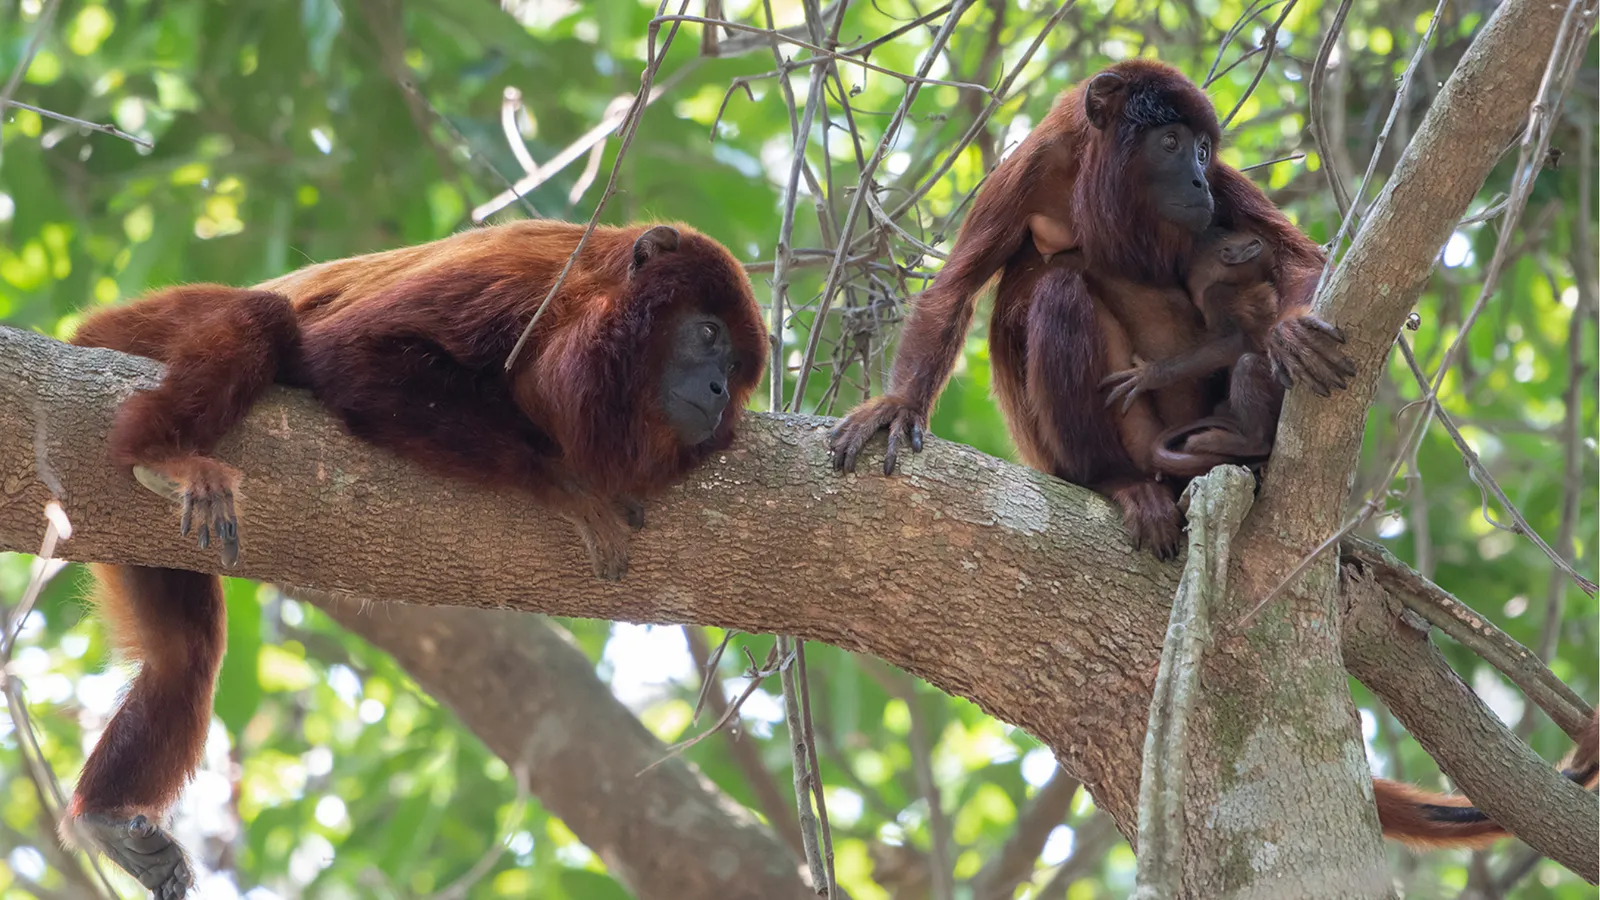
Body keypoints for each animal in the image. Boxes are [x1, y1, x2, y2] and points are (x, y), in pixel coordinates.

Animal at [62, 220, 767, 898]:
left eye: (735, 368)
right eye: (707, 334)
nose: (715, 389)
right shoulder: (521, 286)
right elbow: (352, 355)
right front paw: (567, 482)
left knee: (183, 654)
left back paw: (105, 817)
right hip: (139, 329)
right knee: (261, 315)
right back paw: (162, 453)